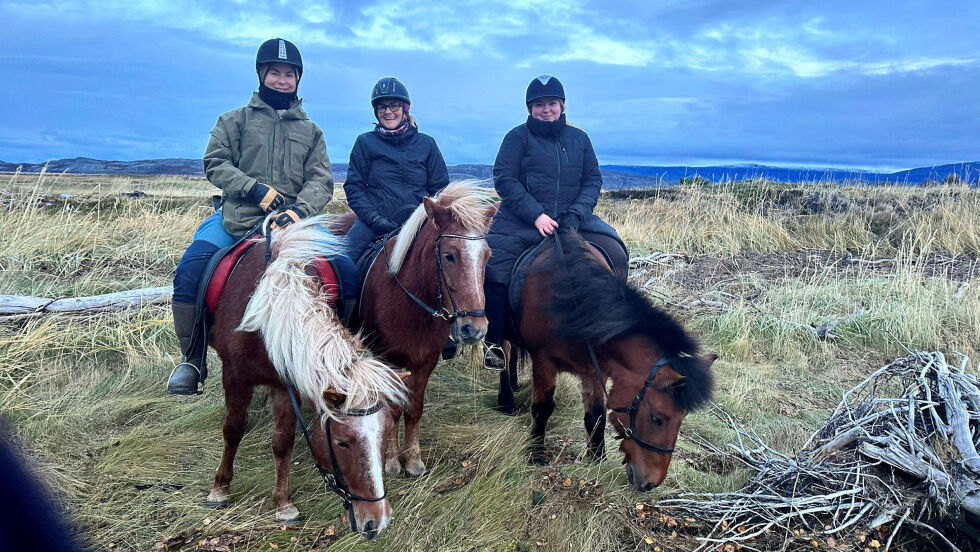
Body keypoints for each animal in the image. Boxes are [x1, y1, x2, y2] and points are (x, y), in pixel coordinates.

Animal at [205, 217, 408, 540]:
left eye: (385, 434)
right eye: (342, 443)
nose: (377, 522)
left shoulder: (285, 384)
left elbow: (282, 441)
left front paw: (284, 503)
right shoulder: (234, 376)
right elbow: (233, 429)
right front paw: (220, 489)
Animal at [332, 182, 498, 478]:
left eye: (487, 256)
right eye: (449, 255)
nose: (475, 329)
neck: (411, 302)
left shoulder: (425, 361)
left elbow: (414, 409)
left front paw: (413, 460)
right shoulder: (388, 361)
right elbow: (394, 409)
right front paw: (391, 461)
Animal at [502, 229, 716, 492]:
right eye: (657, 418)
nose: (651, 483)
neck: (571, 304)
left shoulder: (595, 369)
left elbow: (596, 415)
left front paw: (596, 458)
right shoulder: (544, 363)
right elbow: (542, 409)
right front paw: (535, 454)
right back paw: (506, 397)